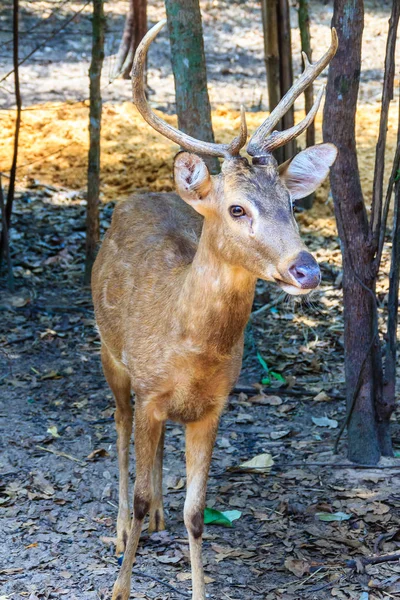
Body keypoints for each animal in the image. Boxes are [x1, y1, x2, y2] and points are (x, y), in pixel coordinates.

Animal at [92, 21, 340, 600]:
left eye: (290, 205)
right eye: (237, 208)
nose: (307, 271)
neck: (189, 349)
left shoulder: (214, 406)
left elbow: (197, 512)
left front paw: (198, 583)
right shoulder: (149, 389)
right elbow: (140, 490)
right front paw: (119, 587)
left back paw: (156, 517)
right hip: (108, 352)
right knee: (118, 427)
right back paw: (120, 529)